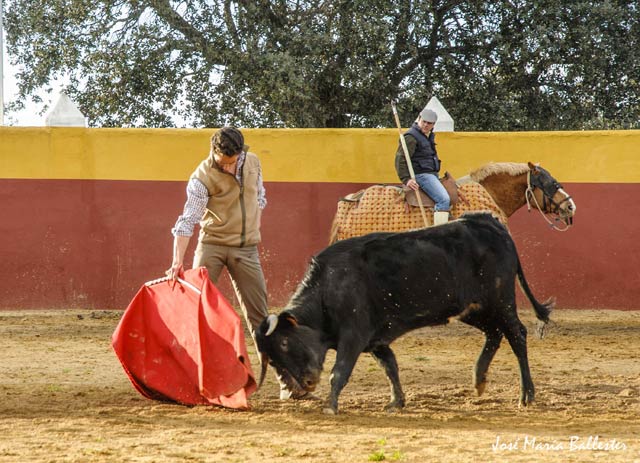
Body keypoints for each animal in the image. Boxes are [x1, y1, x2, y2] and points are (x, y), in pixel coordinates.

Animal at [256, 212, 556, 416]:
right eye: (273, 357)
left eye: (285, 342)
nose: (307, 382)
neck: (327, 289)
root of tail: (490, 222)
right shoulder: (375, 341)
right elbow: (391, 367)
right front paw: (396, 402)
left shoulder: (353, 336)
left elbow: (339, 371)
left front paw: (331, 406)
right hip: (473, 308)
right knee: (494, 333)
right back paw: (479, 379)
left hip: (500, 300)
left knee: (516, 334)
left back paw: (526, 395)